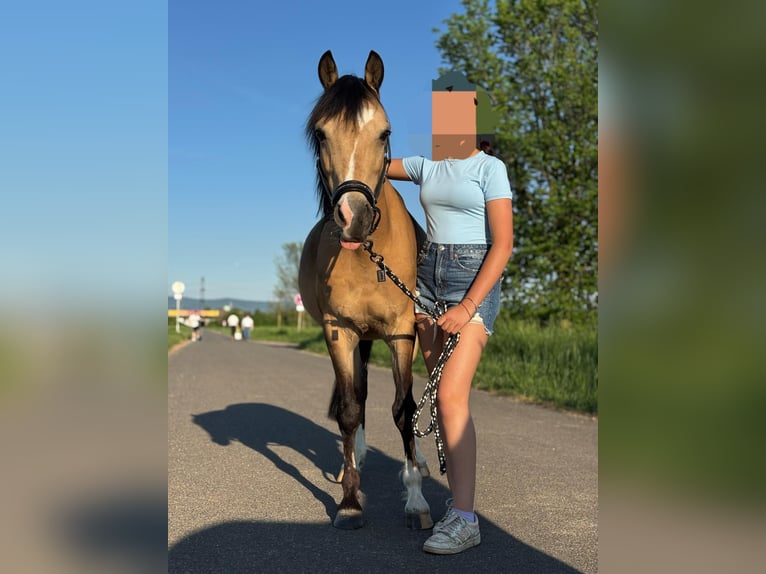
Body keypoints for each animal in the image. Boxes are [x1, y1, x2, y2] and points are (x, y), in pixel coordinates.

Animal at [298, 50, 431, 531]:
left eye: (385, 133)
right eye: (321, 133)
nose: (352, 217)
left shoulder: (401, 332)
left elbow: (404, 409)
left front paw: (416, 498)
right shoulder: (340, 332)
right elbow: (350, 409)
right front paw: (351, 500)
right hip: (360, 339)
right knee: (357, 396)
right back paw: (351, 462)